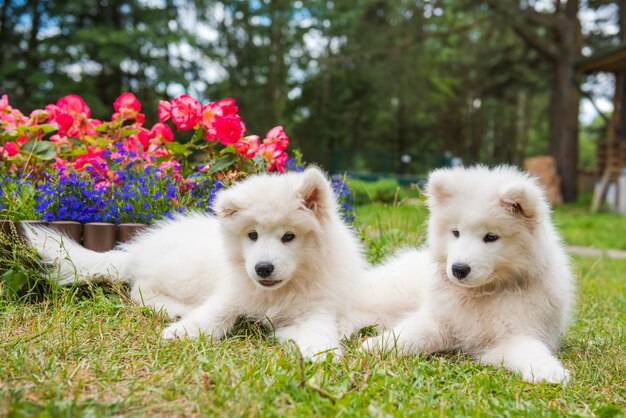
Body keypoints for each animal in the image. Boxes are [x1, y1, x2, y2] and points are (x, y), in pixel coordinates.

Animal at [26, 168, 416, 358]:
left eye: (289, 237)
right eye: (252, 235)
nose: (262, 269)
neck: (278, 292)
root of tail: (137, 248)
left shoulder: (316, 310)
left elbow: (318, 332)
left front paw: (322, 353)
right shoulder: (230, 295)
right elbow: (212, 316)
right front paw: (181, 333)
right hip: (184, 271)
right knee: (140, 290)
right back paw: (175, 311)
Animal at [360, 165, 576, 384]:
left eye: (491, 237)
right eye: (456, 232)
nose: (459, 269)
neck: (481, 293)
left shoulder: (515, 334)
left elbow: (531, 350)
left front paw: (548, 370)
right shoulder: (440, 319)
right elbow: (411, 331)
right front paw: (377, 345)